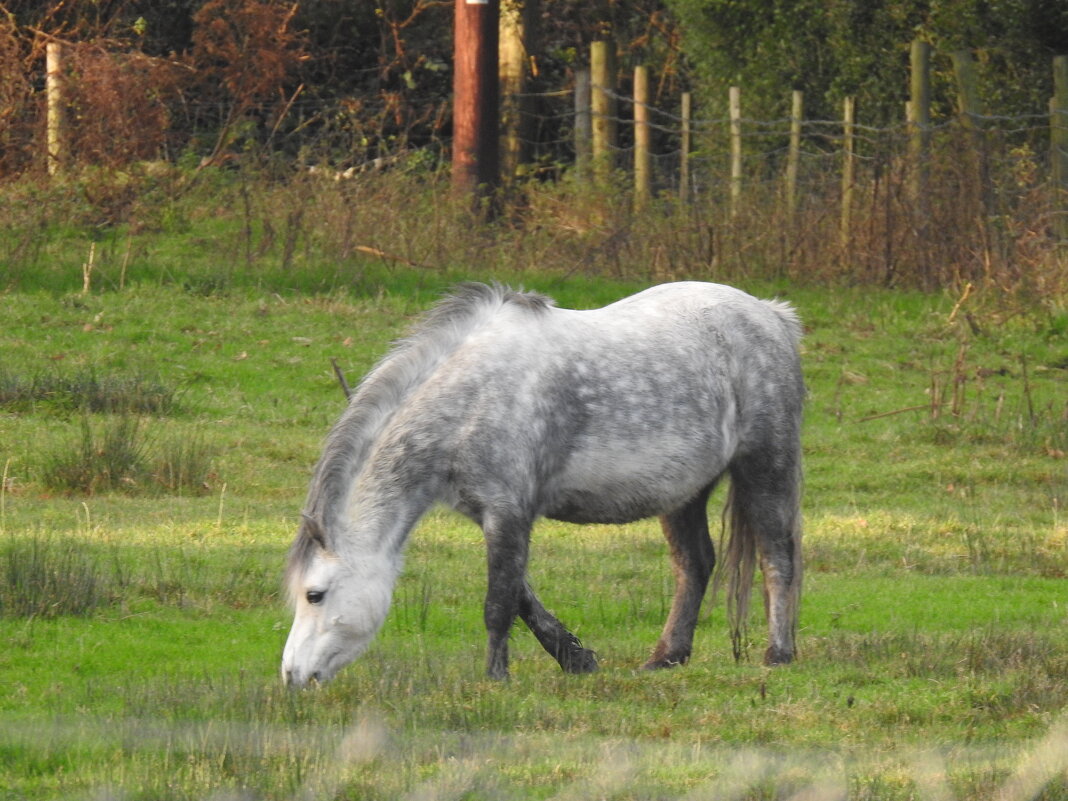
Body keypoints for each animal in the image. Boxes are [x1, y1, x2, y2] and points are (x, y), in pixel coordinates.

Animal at [281, 279, 803, 687]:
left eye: (315, 594)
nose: (291, 675)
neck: (471, 398)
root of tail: (773, 314)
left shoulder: (508, 510)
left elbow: (499, 601)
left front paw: (495, 678)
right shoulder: (491, 513)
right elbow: (522, 596)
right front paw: (575, 658)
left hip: (765, 466)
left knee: (776, 558)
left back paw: (778, 655)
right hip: (685, 492)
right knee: (694, 565)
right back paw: (666, 658)